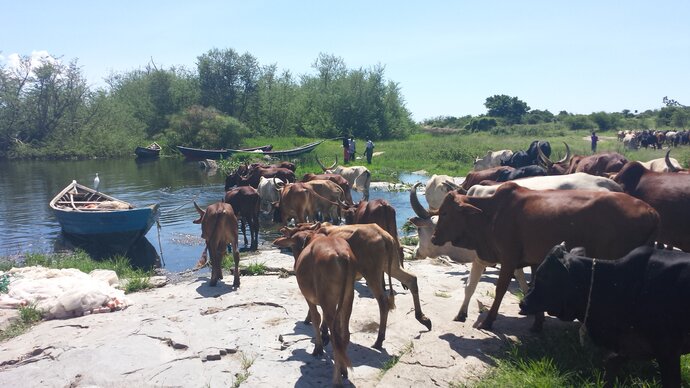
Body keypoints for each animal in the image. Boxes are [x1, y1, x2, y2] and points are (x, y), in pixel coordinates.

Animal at [430, 183, 656, 330]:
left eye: (445, 213)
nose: (433, 237)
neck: (491, 214)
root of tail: (651, 211)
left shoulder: (509, 258)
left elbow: (501, 289)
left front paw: (488, 321)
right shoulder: (534, 259)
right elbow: (533, 287)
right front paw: (538, 322)